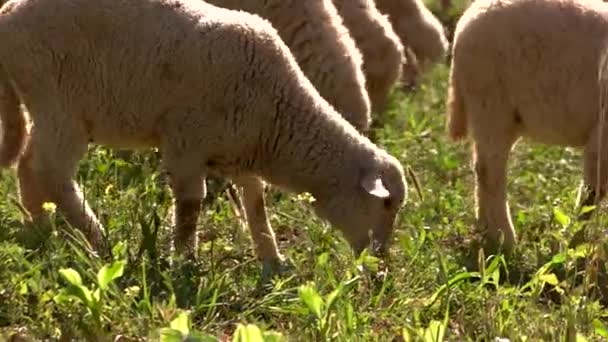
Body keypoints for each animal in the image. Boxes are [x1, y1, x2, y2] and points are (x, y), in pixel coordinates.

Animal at [444, 0, 608, 252]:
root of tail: (466, 20)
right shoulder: (602, 135)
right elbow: (592, 194)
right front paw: (574, 246)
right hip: (492, 105)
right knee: (490, 172)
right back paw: (506, 240)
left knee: (481, 168)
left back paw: (487, 232)